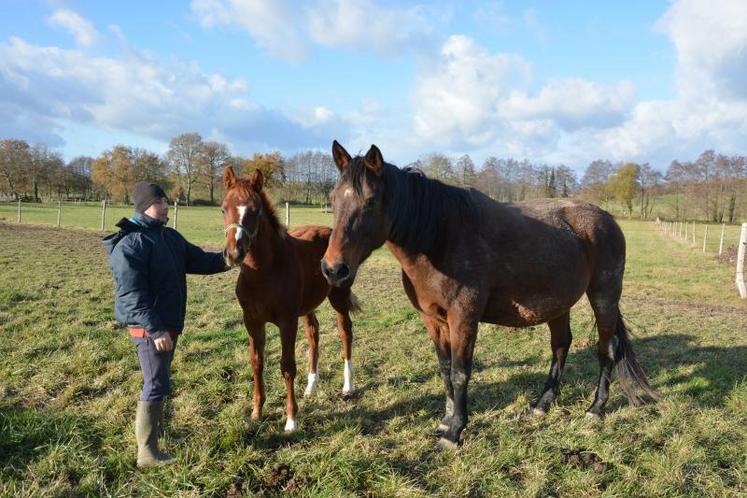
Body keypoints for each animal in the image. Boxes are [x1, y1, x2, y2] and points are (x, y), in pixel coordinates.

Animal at [222, 165, 360, 430]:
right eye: (223, 208)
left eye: (255, 210)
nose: (234, 254)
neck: (264, 271)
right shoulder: (252, 321)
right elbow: (256, 362)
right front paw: (257, 412)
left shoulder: (287, 321)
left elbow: (287, 366)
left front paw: (291, 420)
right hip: (307, 306)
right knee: (314, 333)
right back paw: (311, 387)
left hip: (338, 297)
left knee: (345, 331)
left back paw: (347, 386)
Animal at [318, 142, 656, 450]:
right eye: (332, 198)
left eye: (371, 201)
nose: (334, 269)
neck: (438, 237)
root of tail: (607, 219)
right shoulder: (434, 319)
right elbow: (444, 369)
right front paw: (446, 421)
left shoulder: (464, 318)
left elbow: (460, 372)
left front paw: (455, 431)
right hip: (559, 303)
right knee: (561, 346)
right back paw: (541, 405)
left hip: (604, 296)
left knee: (606, 348)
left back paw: (596, 409)